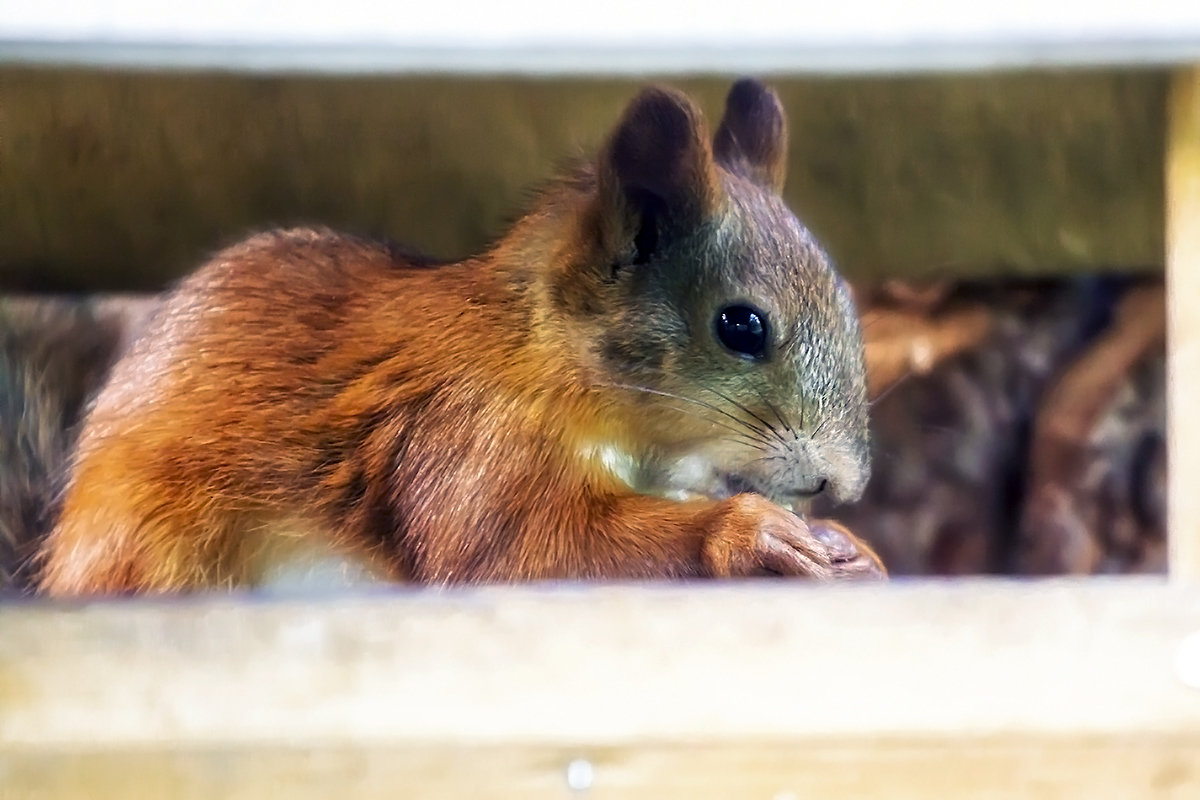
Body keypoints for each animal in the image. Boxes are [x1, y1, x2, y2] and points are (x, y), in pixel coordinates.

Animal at [35, 81, 883, 594]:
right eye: (742, 326)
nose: (841, 486)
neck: (541, 352)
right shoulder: (464, 435)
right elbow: (516, 551)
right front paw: (753, 533)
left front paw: (846, 542)